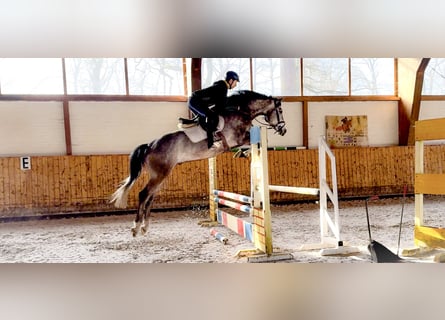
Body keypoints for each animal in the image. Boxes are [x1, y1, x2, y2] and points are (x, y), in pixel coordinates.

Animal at [109, 89, 286, 236]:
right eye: (280, 110)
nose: (283, 130)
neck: (242, 112)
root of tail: (150, 145)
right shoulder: (238, 138)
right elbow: (257, 142)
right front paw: (244, 153)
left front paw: (242, 153)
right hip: (160, 173)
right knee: (144, 194)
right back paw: (136, 227)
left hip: (160, 174)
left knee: (150, 197)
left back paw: (145, 227)